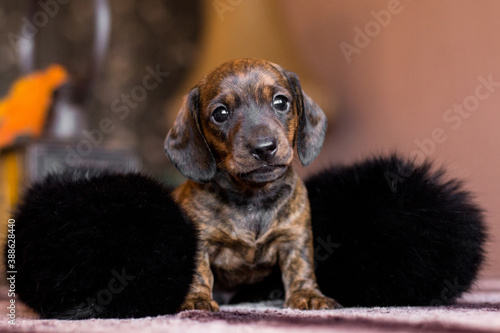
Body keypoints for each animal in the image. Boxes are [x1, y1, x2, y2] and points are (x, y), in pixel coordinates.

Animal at [164, 58, 340, 310]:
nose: (264, 147)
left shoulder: (294, 237)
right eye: (220, 113)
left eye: (280, 102)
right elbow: (199, 271)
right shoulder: (202, 241)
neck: (254, 197)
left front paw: (307, 294)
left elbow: (300, 266)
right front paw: (197, 299)